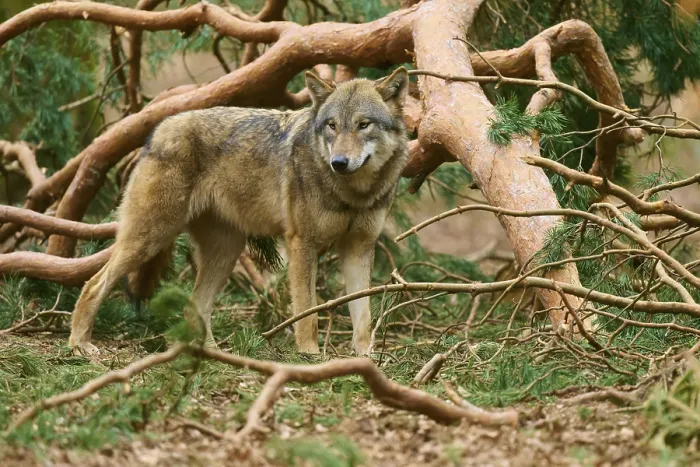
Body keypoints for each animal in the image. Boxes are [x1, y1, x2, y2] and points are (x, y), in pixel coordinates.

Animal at [67, 67, 410, 357]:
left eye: (363, 125)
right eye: (332, 126)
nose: (339, 162)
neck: (355, 194)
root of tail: (158, 129)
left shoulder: (359, 247)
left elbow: (363, 316)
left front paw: (366, 359)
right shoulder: (302, 245)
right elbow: (306, 312)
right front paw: (309, 356)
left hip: (225, 252)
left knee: (194, 306)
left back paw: (213, 354)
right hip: (151, 238)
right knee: (93, 284)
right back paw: (80, 344)